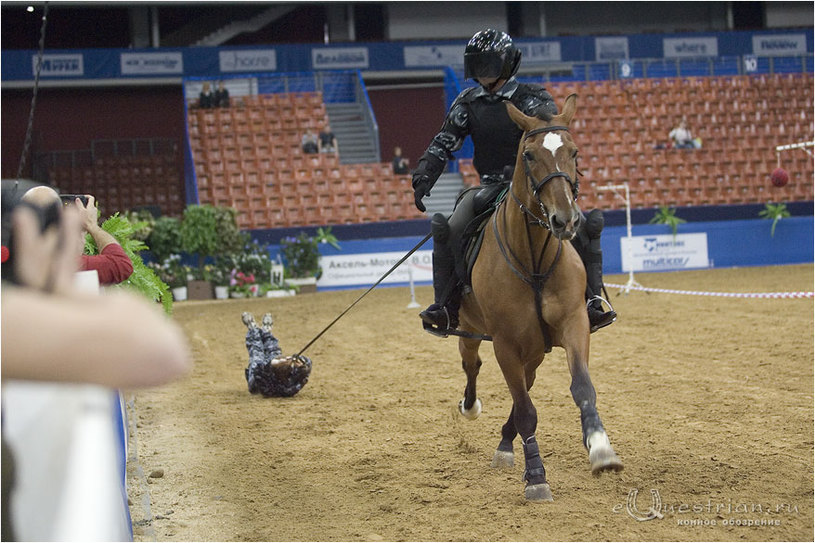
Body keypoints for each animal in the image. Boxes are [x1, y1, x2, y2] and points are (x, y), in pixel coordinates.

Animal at [456, 94, 620, 506]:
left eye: (574, 151)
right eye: (528, 155)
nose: (565, 220)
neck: (533, 261)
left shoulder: (575, 324)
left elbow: (582, 388)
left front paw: (600, 447)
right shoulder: (504, 344)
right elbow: (527, 411)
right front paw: (536, 478)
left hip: (534, 349)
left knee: (523, 387)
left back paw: (505, 443)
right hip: (472, 330)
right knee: (473, 366)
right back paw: (471, 407)